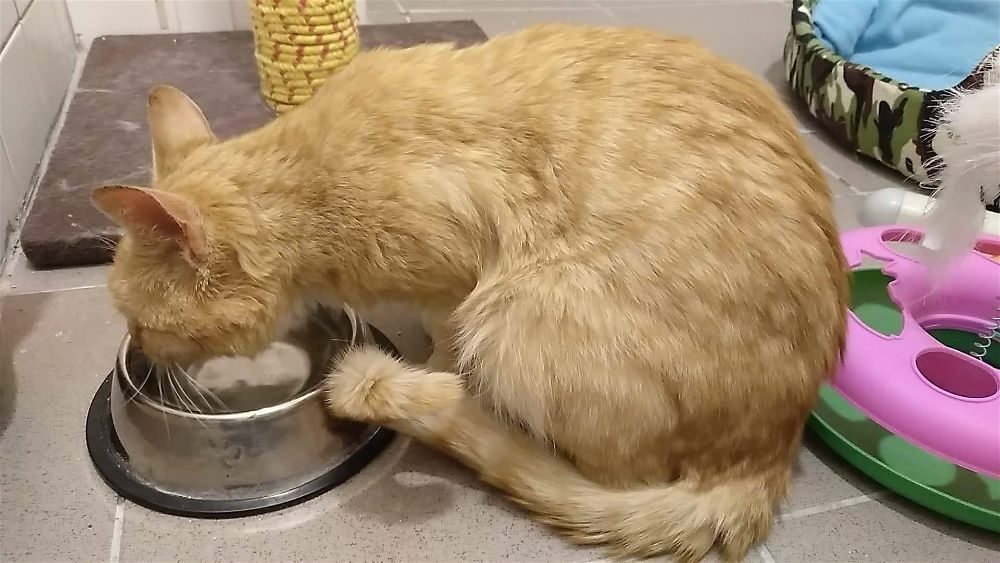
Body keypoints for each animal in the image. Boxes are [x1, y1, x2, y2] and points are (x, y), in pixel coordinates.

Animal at [92, 24, 848, 562]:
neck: (310, 188)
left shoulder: (454, 276)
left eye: (141, 321)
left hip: (517, 322)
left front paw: (430, 372)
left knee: (611, 471)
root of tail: (771, 450)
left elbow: (442, 345)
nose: (138, 352)